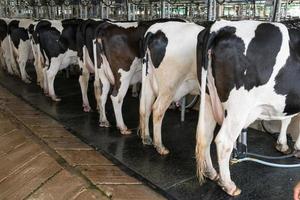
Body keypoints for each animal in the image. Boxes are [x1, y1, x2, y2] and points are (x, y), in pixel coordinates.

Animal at [139, 21, 205, 155]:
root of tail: (154, 31)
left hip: (148, 80)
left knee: (145, 107)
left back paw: (146, 138)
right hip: (169, 86)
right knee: (157, 109)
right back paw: (160, 146)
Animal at [196, 19, 300, 196]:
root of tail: (220, 26)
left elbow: (287, 118)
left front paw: (283, 145)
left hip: (208, 98)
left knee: (206, 136)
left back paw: (212, 173)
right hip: (238, 108)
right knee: (223, 141)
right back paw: (229, 185)